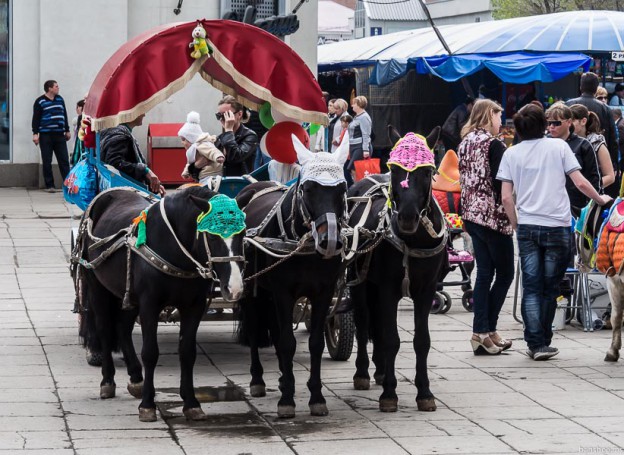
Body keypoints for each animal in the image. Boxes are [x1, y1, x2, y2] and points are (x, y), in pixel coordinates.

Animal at [74, 187, 245, 422]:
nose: (234, 288)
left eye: (243, 234)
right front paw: (147, 405)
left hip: (126, 294)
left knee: (122, 328)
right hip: (97, 286)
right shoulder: (150, 305)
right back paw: (107, 382)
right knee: (105, 329)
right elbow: (150, 352)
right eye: (212, 235)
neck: (175, 248)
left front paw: (191, 403)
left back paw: (136, 378)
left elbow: (187, 352)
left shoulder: (194, 306)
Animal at [235, 134, 352, 418]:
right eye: (308, 189)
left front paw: (316, 397)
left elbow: (314, 344)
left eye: (342, 189)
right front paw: (287, 400)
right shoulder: (282, 292)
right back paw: (258, 381)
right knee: (254, 328)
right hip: (253, 289)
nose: (330, 240)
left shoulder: (324, 292)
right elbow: (287, 342)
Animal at [346, 127, 448, 414]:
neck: (413, 240)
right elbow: (392, 339)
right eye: (394, 170)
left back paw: (381, 371)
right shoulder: (388, 288)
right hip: (359, 281)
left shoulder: (426, 290)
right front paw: (389, 395)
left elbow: (421, 341)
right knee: (363, 321)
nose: (407, 217)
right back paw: (363, 373)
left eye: (427, 172)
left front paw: (424, 393)